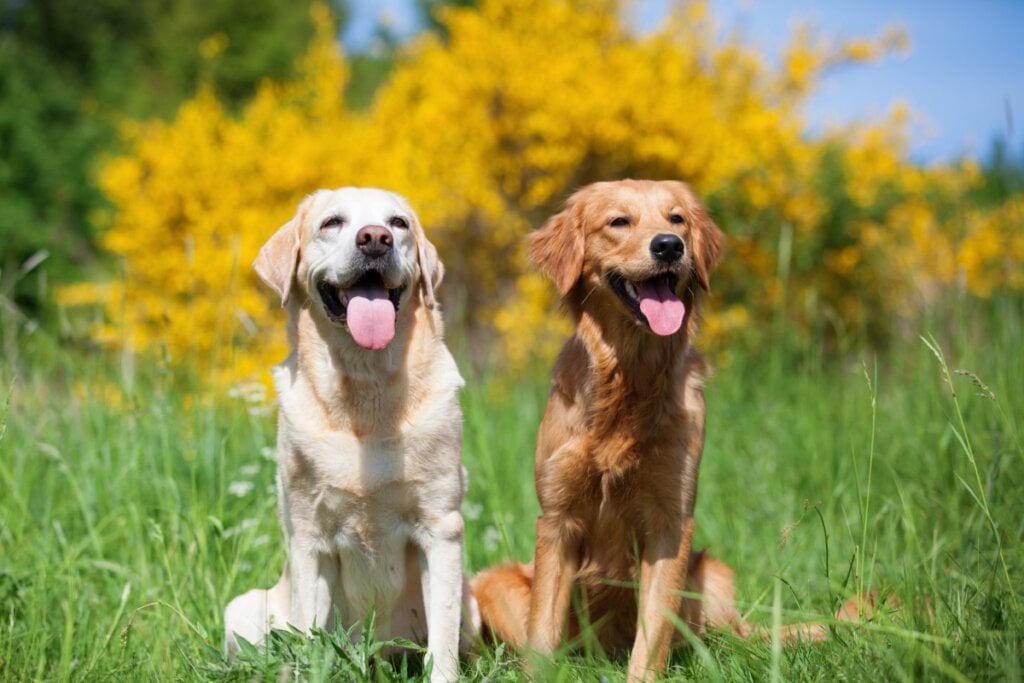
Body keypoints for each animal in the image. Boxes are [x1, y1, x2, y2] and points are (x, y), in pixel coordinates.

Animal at [224, 188, 471, 683]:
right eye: (332, 222)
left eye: (398, 224)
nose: (374, 238)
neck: (364, 388)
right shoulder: (309, 539)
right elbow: (308, 638)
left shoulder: (442, 529)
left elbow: (442, 643)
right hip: (241, 609)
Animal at [468, 180, 868, 679]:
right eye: (619, 221)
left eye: (677, 219)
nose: (669, 246)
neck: (630, 379)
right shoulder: (558, 520)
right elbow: (542, 634)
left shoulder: (671, 522)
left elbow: (653, 631)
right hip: (493, 582)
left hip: (712, 575)